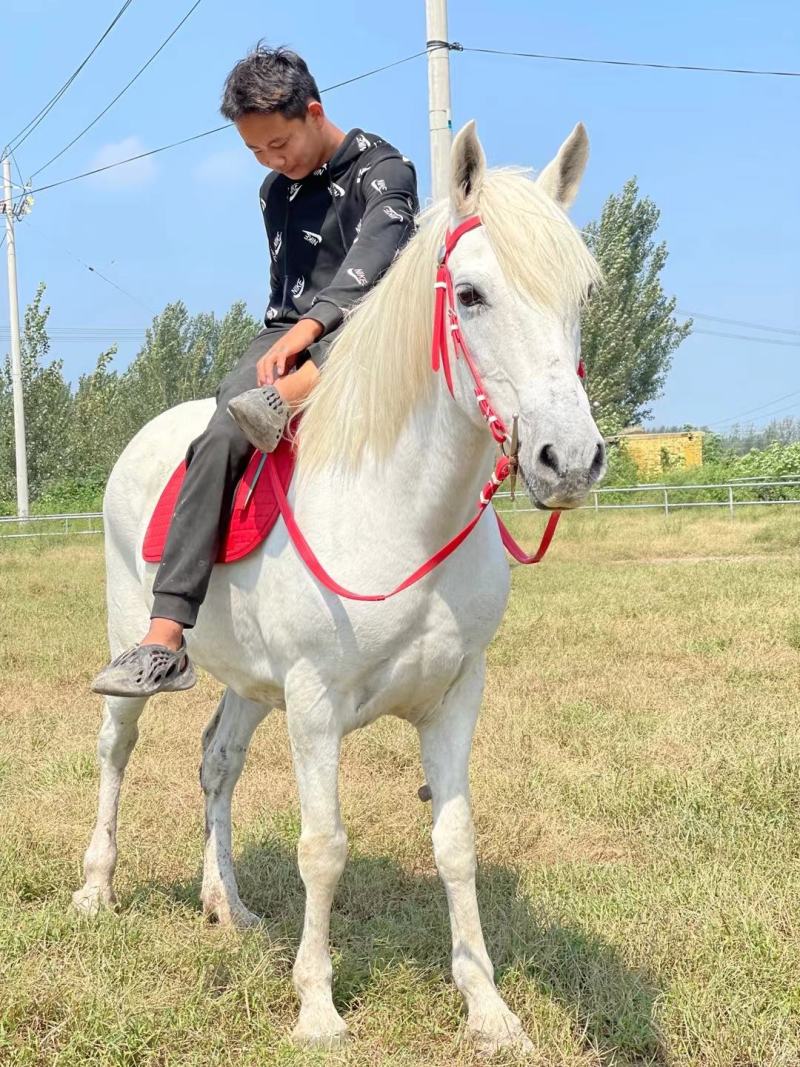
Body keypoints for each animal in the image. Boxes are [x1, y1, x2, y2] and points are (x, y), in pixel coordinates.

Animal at [72, 121, 605, 1054]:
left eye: (581, 291)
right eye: (472, 295)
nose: (568, 460)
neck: (401, 514)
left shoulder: (457, 694)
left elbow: (456, 841)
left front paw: (489, 1008)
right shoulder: (316, 703)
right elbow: (323, 845)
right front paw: (317, 1008)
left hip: (253, 683)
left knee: (217, 761)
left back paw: (227, 903)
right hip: (129, 636)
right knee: (116, 747)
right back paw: (97, 888)